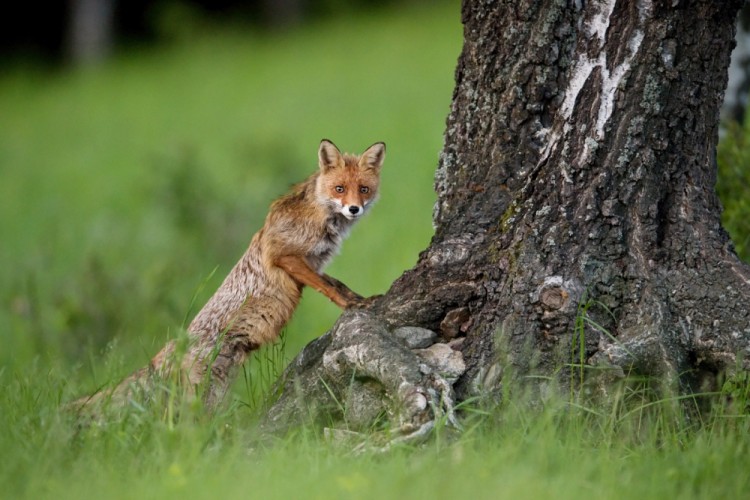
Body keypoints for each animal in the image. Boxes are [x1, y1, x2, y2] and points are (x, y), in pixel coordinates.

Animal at [75, 140, 384, 410]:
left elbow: (337, 283)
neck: (319, 216)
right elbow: (328, 288)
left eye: (364, 189)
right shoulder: (285, 256)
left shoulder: (313, 264)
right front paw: (349, 305)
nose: (354, 209)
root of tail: (165, 352)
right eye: (340, 188)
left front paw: (362, 299)